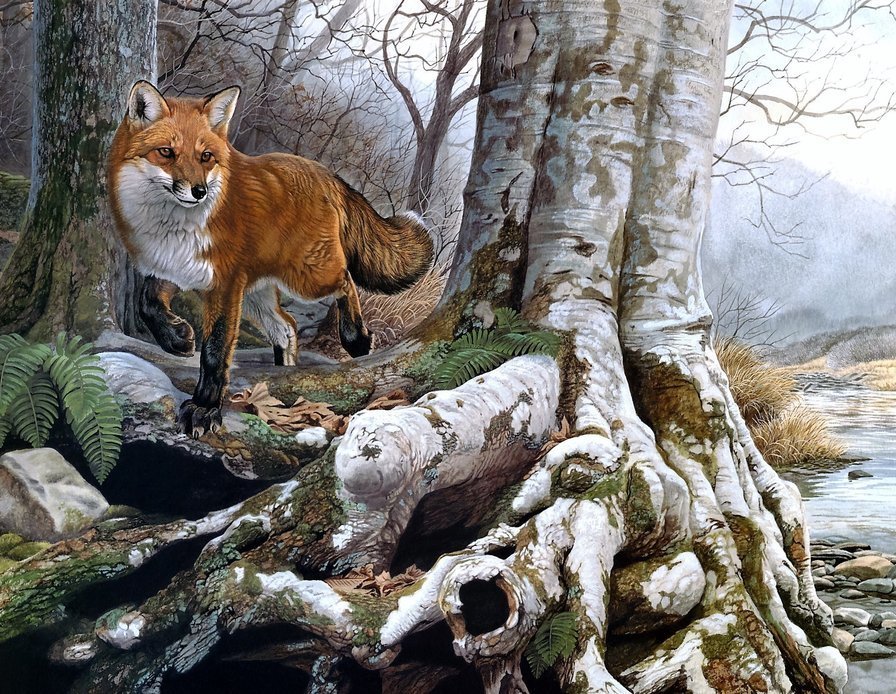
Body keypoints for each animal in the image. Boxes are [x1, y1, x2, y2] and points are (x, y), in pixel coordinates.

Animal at [108, 81, 433, 438]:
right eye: (166, 152)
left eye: (206, 157)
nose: (199, 191)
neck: (173, 227)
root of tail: (324, 172)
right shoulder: (175, 267)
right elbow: (147, 303)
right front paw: (177, 339)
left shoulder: (224, 284)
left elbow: (215, 350)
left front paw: (204, 408)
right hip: (255, 293)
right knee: (286, 327)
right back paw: (284, 372)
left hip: (307, 278)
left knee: (346, 281)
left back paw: (356, 338)